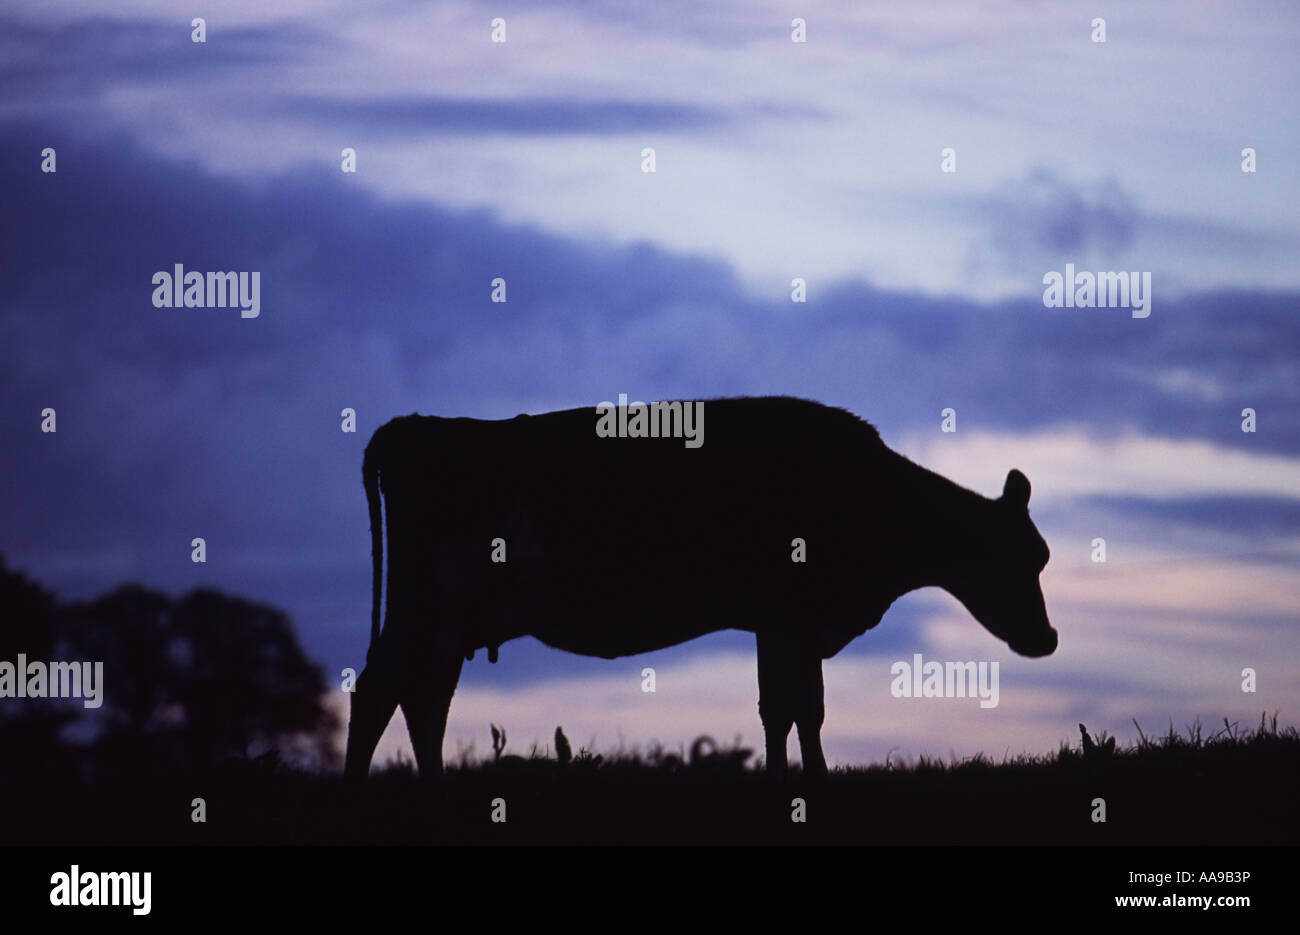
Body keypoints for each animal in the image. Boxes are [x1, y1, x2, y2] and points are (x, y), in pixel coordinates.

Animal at [343, 396, 1057, 780]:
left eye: (1043, 557)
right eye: (1016, 557)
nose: (1047, 638)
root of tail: (414, 425)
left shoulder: (789, 626)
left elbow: (802, 709)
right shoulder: (787, 617)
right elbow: (786, 709)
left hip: (447, 620)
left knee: (423, 698)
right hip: (425, 607)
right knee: (383, 690)